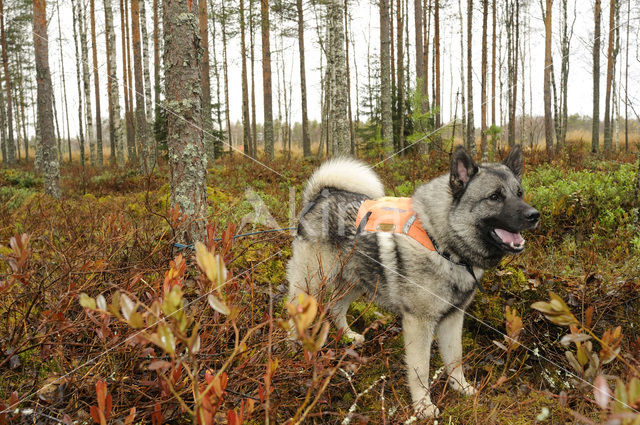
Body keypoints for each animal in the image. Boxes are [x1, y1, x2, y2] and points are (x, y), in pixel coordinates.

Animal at [286, 144, 540, 416]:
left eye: (519, 193)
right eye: (494, 196)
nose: (534, 215)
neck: (441, 244)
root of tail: (320, 197)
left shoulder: (453, 318)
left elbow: (455, 358)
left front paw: (461, 387)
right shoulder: (419, 324)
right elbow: (421, 369)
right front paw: (423, 406)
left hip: (356, 281)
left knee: (336, 306)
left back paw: (348, 337)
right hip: (311, 284)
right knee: (295, 312)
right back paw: (291, 347)